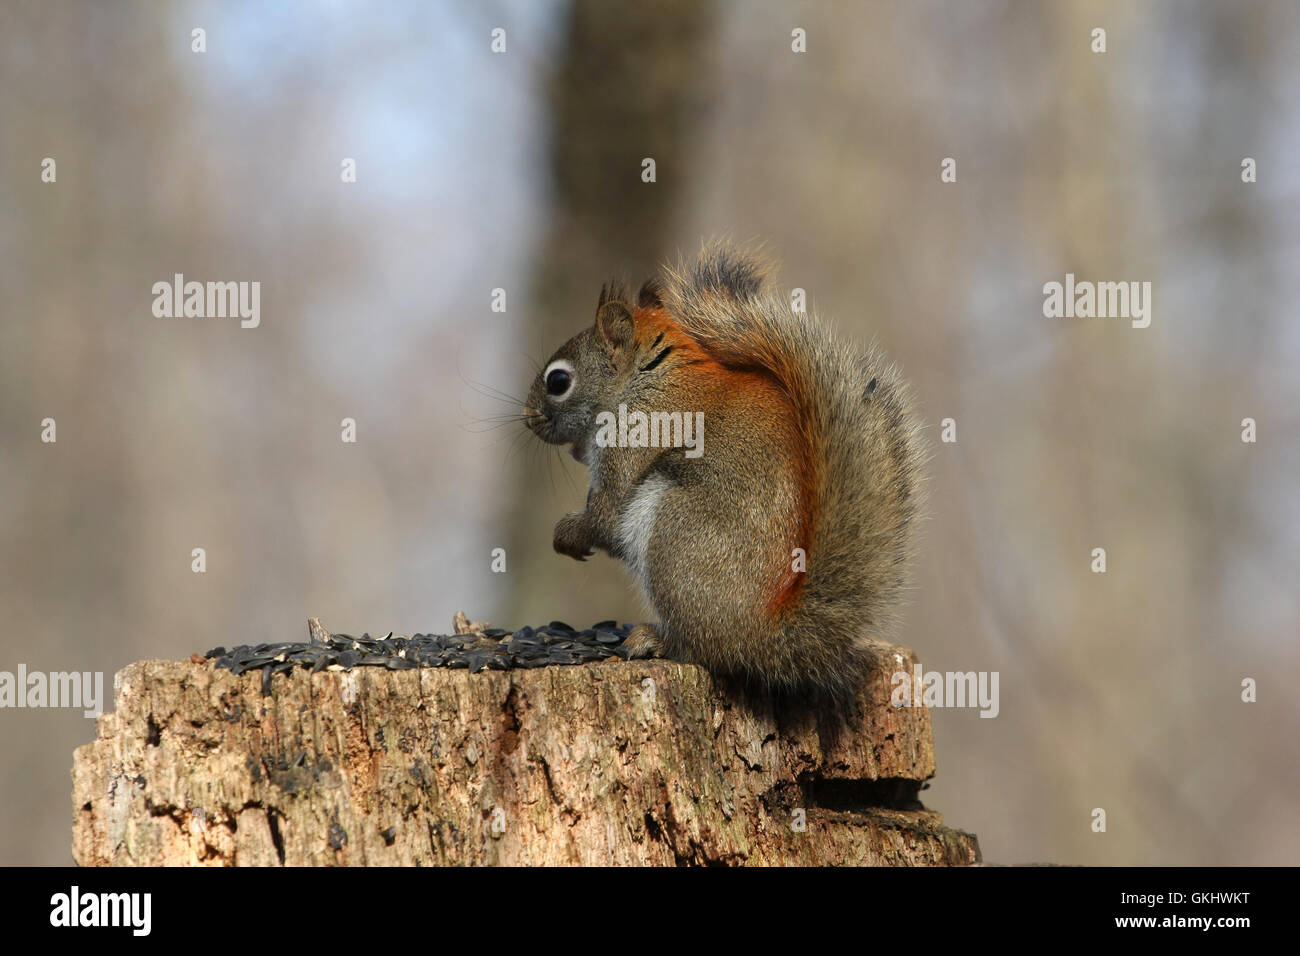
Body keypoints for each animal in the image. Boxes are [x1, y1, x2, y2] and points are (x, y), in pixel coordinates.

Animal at [520, 243, 925, 697]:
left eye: (558, 381)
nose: (527, 418)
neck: (642, 382)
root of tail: (766, 636)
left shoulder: (629, 442)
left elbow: (605, 517)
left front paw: (567, 534)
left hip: (674, 529)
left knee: (701, 647)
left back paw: (656, 638)